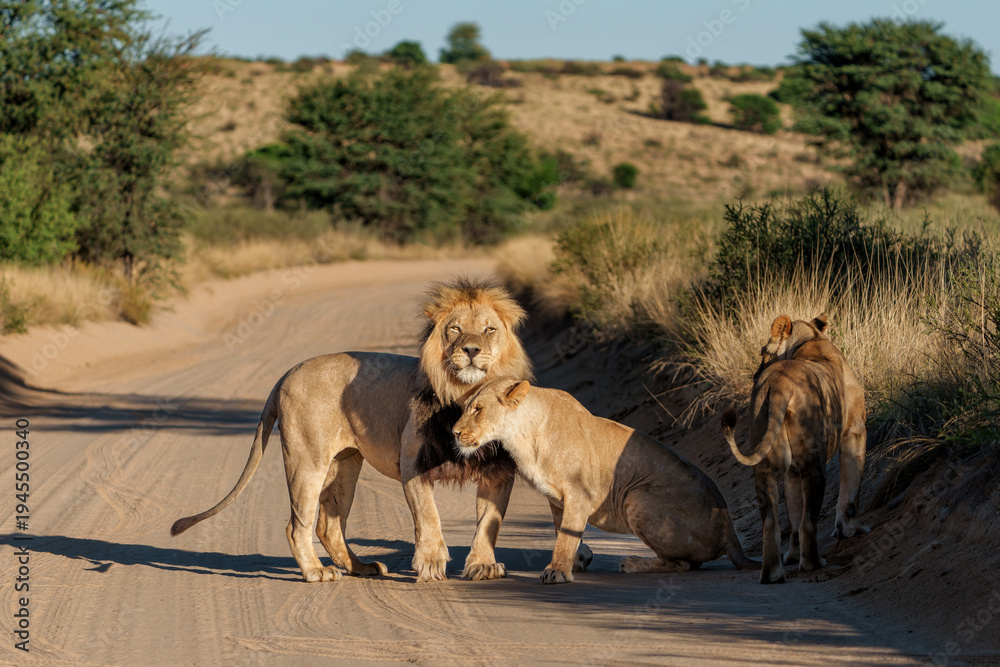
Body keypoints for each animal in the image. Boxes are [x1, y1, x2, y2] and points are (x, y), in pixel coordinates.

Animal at [171, 278, 542, 583]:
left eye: (489, 330)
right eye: (454, 329)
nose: (471, 350)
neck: (464, 392)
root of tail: (288, 372)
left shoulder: (498, 467)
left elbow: (490, 521)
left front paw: (483, 565)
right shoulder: (413, 462)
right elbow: (429, 516)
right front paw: (431, 563)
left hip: (345, 464)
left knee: (329, 524)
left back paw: (361, 567)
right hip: (307, 461)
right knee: (297, 525)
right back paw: (316, 572)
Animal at [453, 378, 759, 584]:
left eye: (478, 409)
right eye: (466, 407)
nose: (454, 432)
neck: (521, 436)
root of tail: (729, 529)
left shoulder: (580, 494)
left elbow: (565, 537)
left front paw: (557, 571)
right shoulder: (557, 499)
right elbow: (563, 532)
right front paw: (574, 561)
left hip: (637, 497)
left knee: (682, 564)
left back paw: (633, 563)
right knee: (689, 564)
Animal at [721, 314, 869, 584]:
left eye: (762, 352)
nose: (755, 375)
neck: (811, 338)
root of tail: (778, 384)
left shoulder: (792, 470)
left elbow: (793, 512)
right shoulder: (855, 431)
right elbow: (850, 492)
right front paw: (850, 530)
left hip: (765, 462)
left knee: (773, 522)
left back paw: (774, 574)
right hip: (813, 461)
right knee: (808, 521)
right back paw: (813, 563)